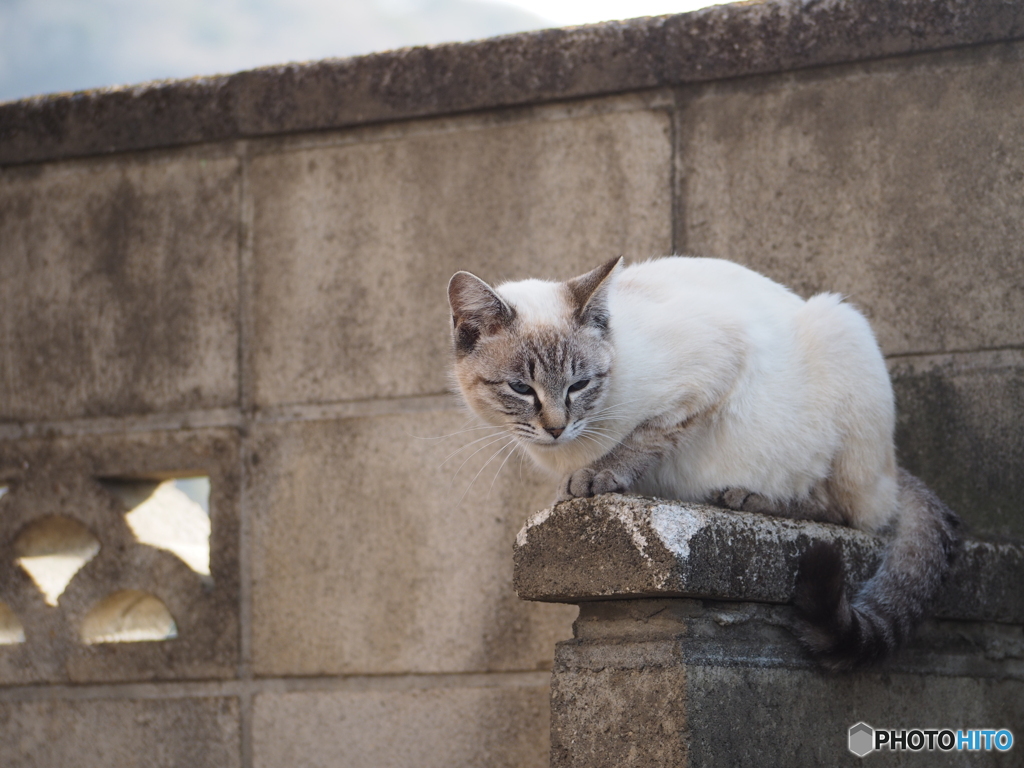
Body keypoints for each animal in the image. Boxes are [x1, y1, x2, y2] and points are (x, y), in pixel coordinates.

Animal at [446, 256, 958, 671]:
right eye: (521, 389)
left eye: (579, 385)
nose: (555, 427)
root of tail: (894, 469)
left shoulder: (709, 374)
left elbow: (644, 437)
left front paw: (597, 477)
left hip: (841, 330)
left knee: (853, 514)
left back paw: (749, 498)